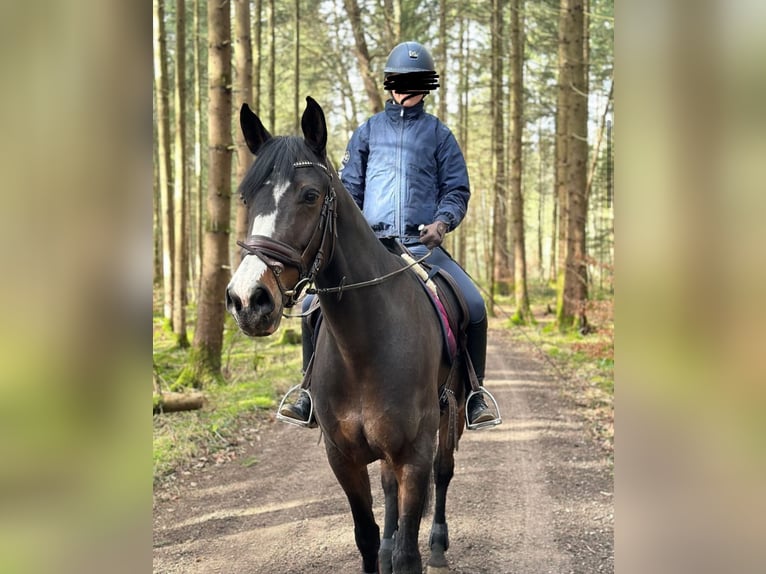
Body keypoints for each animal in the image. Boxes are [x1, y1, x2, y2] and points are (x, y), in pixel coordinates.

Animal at [225, 97, 472, 572]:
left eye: (310, 195)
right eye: (247, 196)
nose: (248, 299)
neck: (365, 345)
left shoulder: (414, 452)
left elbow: (411, 550)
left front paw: (412, 549)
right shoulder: (342, 457)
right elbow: (366, 537)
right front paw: (385, 546)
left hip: (448, 415)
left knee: (444, 473)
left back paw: (438, 542)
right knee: (389, 488)